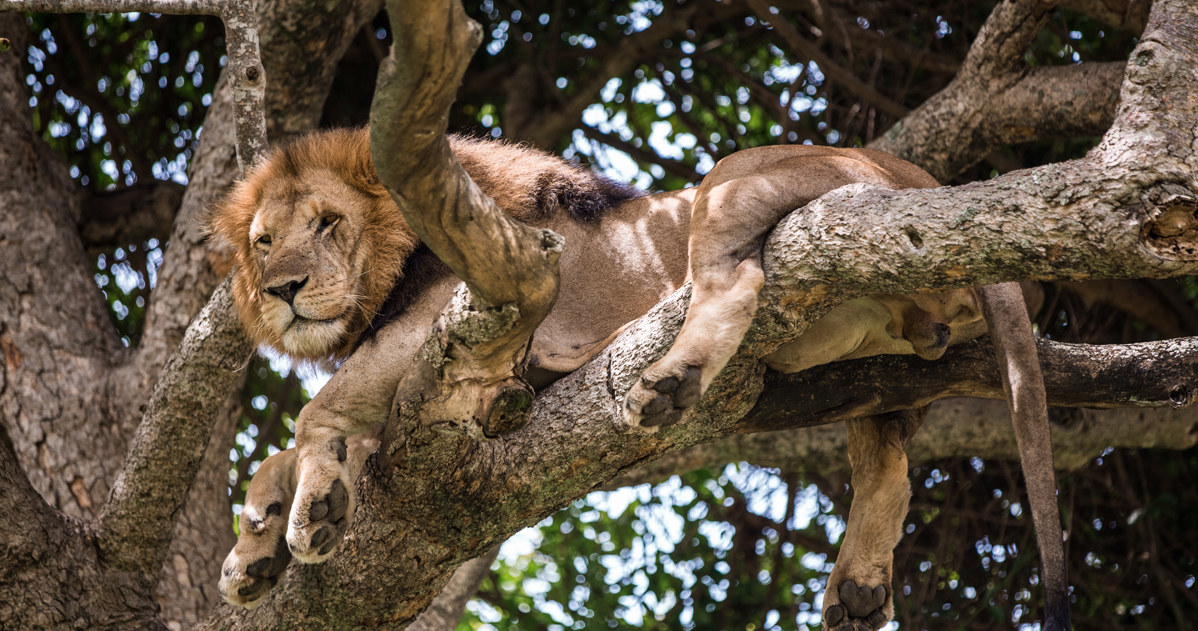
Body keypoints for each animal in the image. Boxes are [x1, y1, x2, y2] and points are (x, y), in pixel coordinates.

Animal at [208, 125, 991, 627]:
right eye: (264, 242)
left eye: (329, 222)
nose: (282, 289)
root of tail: (925, 180)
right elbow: (279, 454)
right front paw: (254, 549)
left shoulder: (453, 314)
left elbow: (312, 414)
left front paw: (313, 511)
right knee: (886, 454)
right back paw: (856, 589)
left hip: (735, 177)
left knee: (735, 284)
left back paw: (646, 371)